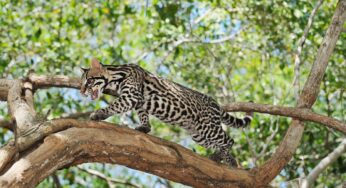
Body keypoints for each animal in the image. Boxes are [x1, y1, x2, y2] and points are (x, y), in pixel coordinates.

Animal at [81, 58, 254, 166]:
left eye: (89, 80)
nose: (82, 92)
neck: (117, 75)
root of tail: (216, 104)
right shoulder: (139, 101)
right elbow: (143, 114)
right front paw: (145, 127)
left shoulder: (131, 96)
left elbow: (114, 105)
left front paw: (99, 113)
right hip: (198, 134)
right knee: (219, 143)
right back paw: (223, 157)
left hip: (208, 127)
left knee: (229, 140)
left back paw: (228, 160)